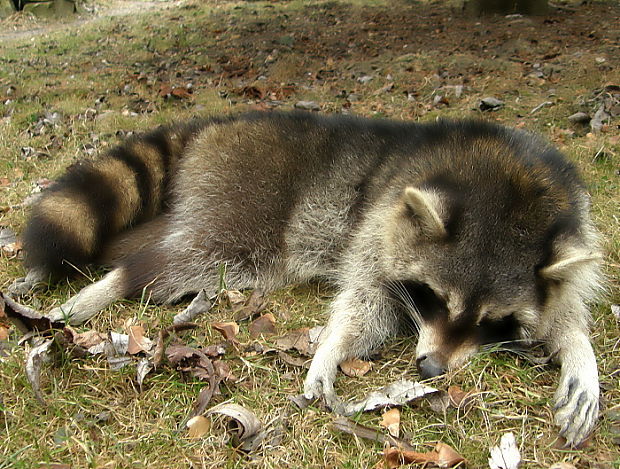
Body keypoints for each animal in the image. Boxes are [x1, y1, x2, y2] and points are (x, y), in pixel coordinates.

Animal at [12, 111, 604, 444]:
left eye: (492, 321)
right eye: (436, 297)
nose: (432, 368)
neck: (511, 180)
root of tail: (216, 125)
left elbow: (565, 302)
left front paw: (576, 345)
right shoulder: (382, 216)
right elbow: (366, 296)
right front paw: (332, 347)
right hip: (245, 205)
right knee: (180, 259)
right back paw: (103, 288)